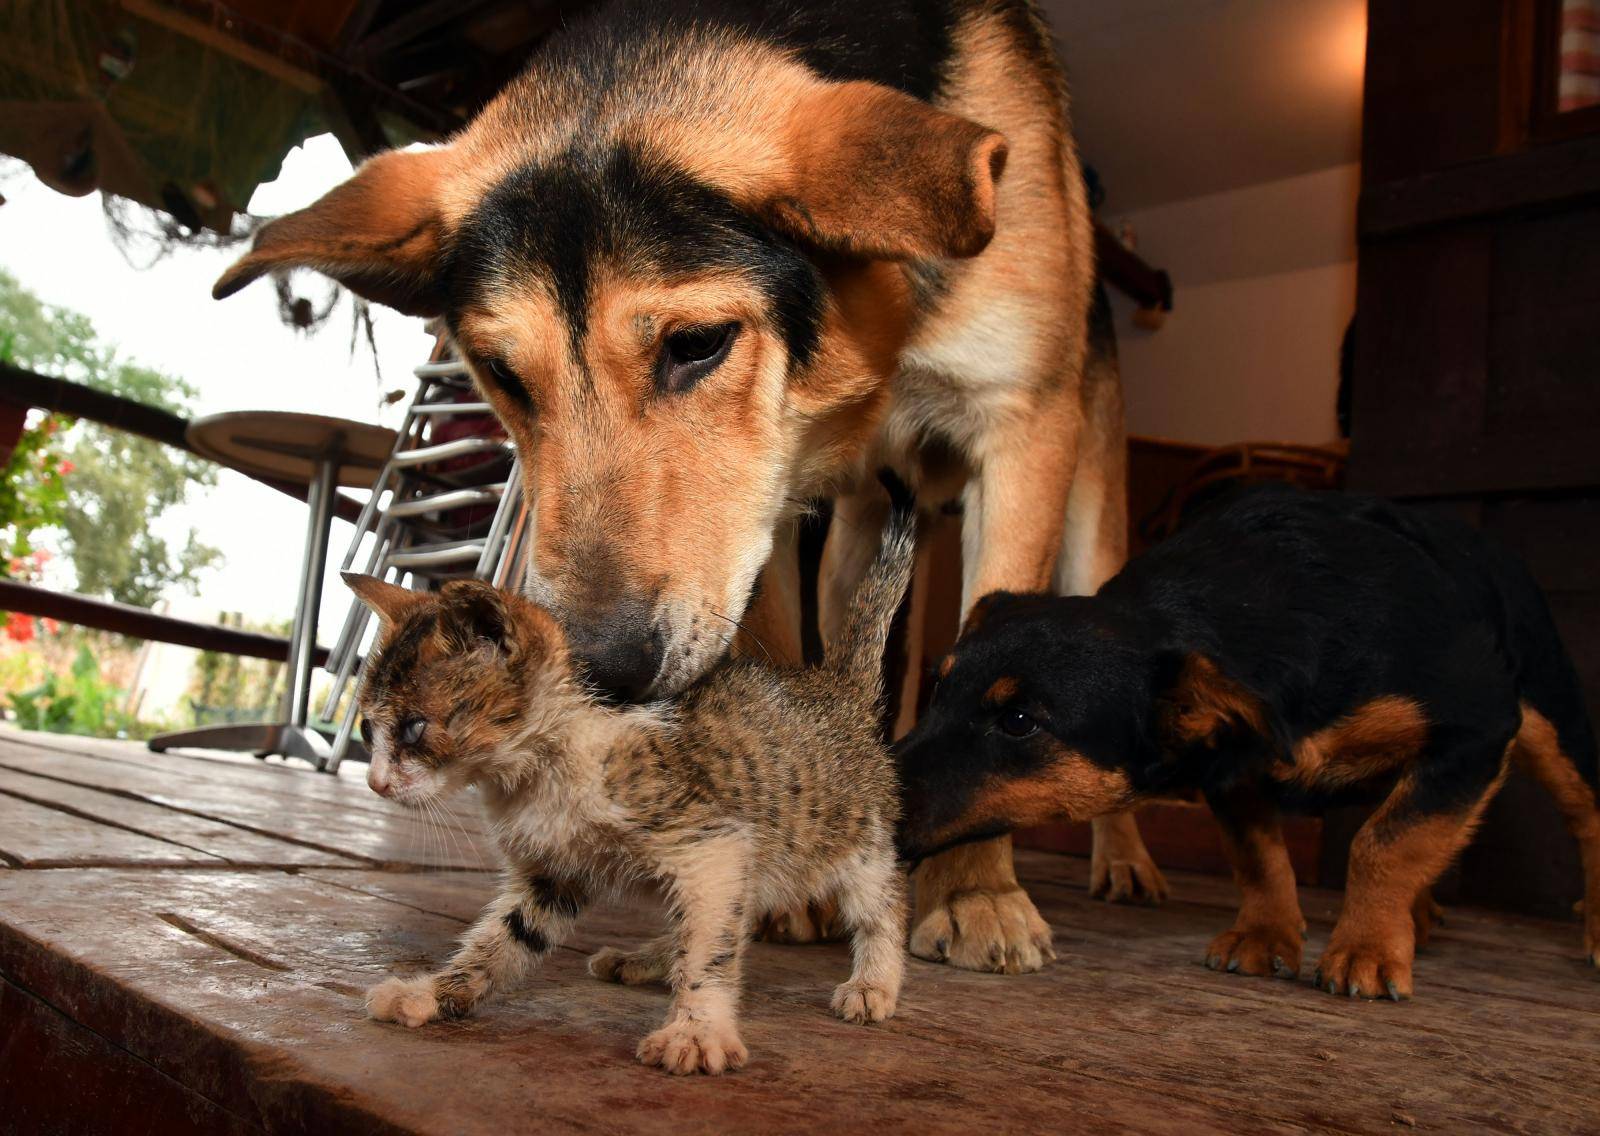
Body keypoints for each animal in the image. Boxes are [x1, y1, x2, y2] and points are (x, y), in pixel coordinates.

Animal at [212, 2, 1164, 979]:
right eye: (501, 374)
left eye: (698, 343)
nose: (596, 674)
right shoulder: (764, 509)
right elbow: (778, 660)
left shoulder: (1017, 436)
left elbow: (995, 683)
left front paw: (974, 890)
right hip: (851, 544)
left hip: (1088, 517)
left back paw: (1123, 862)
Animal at [352, 476, 921, 1075]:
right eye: (368, 728)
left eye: (415, 728)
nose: (376, 783)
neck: (543, 771)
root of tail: (836, 688)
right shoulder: (555, 873)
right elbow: (500, 941)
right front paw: (432, 994)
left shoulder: (713, 843)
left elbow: (712, 949)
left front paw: (697, 1030)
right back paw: (648, 961)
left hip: (849, 838)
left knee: (882, 901)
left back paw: (874, 983)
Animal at [902, 486, 1600, 998]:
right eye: (936, 689)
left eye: (1020, 721)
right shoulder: (1233, 773)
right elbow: (1261, 857)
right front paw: (1265, 938)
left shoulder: (1476, 729)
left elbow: (1387, 842)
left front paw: (1368, 949)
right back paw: (1420, 915)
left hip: (1550, 723)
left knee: (1584, 813)